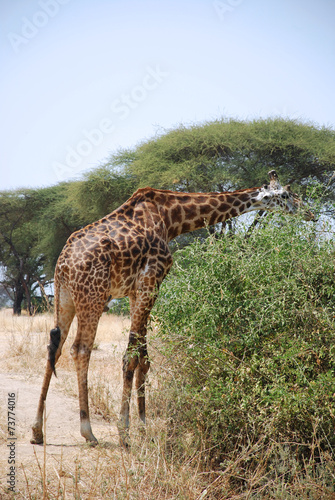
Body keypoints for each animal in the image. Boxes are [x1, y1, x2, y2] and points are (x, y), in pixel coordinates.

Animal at [30, 171, 314, 446]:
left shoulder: (135, 291)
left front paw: (143, 428)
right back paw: (88, 432)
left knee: (54, 347)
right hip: (93, 297)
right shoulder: (150, 281)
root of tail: (64, 262)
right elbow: (131, 356)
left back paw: (37, 431)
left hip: (65, 298)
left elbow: (143, 358)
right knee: (80, 349)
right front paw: (125, 432)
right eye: (285, 194)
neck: (171, 218)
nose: (308, 212)